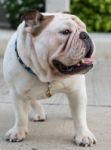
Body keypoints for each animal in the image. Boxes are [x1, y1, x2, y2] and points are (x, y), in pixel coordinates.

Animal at [2, 10, 96, 146]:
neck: (45, 74)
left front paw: (83, 135)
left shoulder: (77, 91)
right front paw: (18, 132)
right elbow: (20, 115)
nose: (85, 35)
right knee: (32, 100)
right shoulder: (17, 93)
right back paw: (39, 113)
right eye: (65, 32)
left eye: (84, 28)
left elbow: (79, 115)